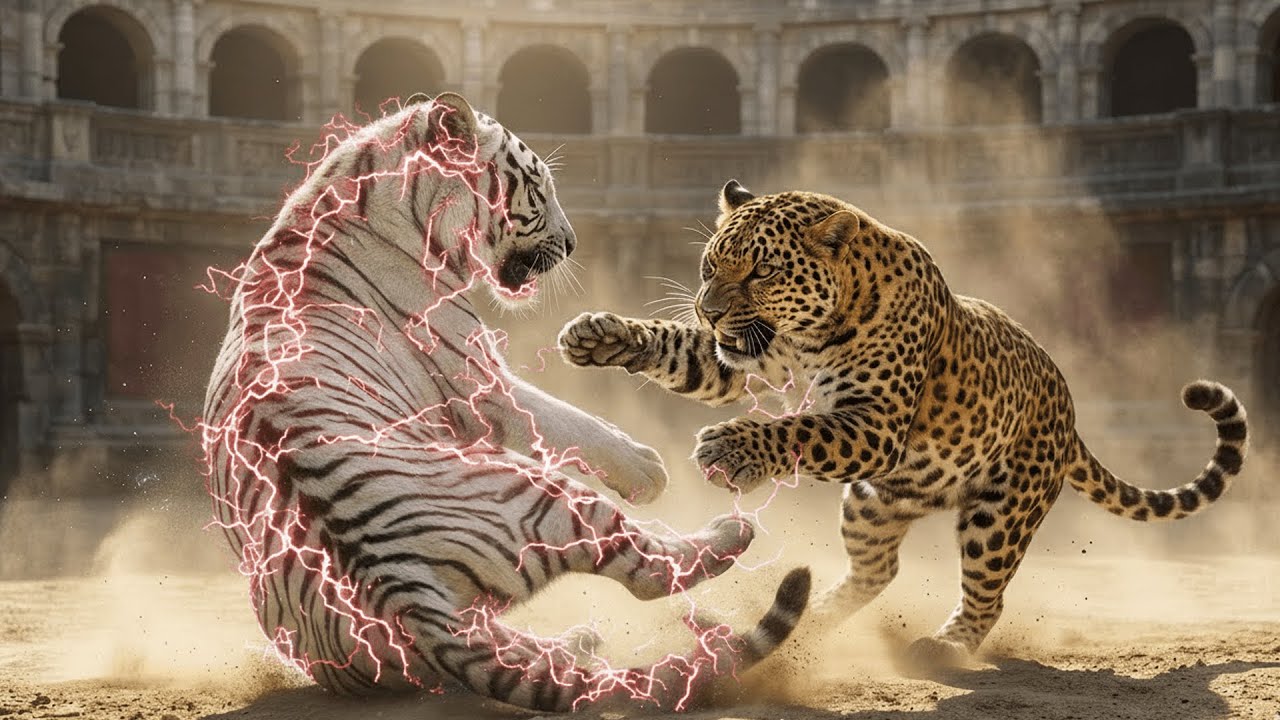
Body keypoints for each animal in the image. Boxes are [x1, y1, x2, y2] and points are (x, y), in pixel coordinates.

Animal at [200, 99, 810, 711]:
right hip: (545, 496)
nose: (572, 244)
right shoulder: (479, 379)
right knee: (648, 573)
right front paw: (646, 469)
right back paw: (728, 535)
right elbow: (567, 420)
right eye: (537, 189)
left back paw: (579, 643)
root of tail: (392, 585)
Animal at [556, 180, 1249, 667]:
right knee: (878, 571)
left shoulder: (878, 422)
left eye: (762, 272)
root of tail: (1068, 413)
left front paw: (734, 450)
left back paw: (945, 646)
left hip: (1000, 515)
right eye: (709, 267)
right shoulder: (745, 362)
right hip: (873, 502)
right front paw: (600, 335)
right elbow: (681, 352)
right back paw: (810, 620)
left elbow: (798, 428)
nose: (708, 309)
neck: (810, 334)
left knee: (988, 592)